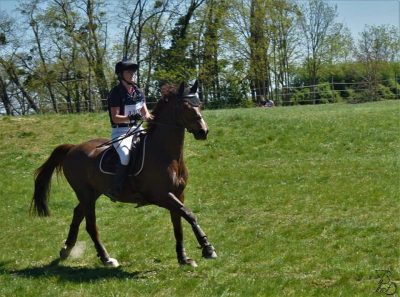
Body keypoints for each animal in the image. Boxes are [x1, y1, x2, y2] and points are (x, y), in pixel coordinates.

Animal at [31, 81, 217, 268]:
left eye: (200, 105)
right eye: (186, 107)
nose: (203, 131)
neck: (165, 152)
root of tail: (73, 148)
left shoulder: (178, 194)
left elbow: (178, 225)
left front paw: (183, 258)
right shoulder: (162, 196)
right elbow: (189, 215)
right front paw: (207, 248)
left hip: (92, 193)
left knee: (77, 214)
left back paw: (66, 249)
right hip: (86, 195)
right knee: (91, 226)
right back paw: (106, 258)